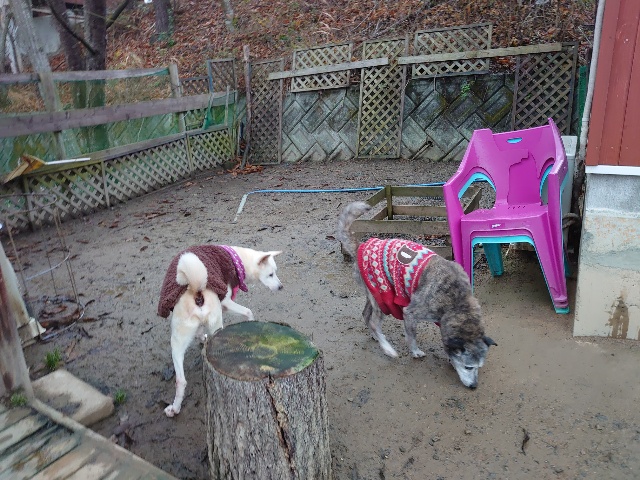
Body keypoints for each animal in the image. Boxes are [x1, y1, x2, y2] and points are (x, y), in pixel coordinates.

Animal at [157, 245, 283, 416]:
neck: (237, 260)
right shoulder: (226, 302)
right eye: (271, 274)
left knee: (181, 380)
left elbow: (200, 329)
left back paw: (174, 409)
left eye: (275, 272)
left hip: (179, 340)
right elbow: (248, 312)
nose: (281, 287)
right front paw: (252, 323)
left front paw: (201, 337)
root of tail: (196, 290)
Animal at [337, 201, 496, 388]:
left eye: (479, 367)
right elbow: (412, 337)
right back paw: (388, 349)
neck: (457, 302)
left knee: (366, 315)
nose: (474, 387)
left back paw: (376, 336)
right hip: (383, 296)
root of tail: (359, 246)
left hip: (373, 296)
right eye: (468, 367)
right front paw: (415, 351)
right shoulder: (410, 313)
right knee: (374, 322)